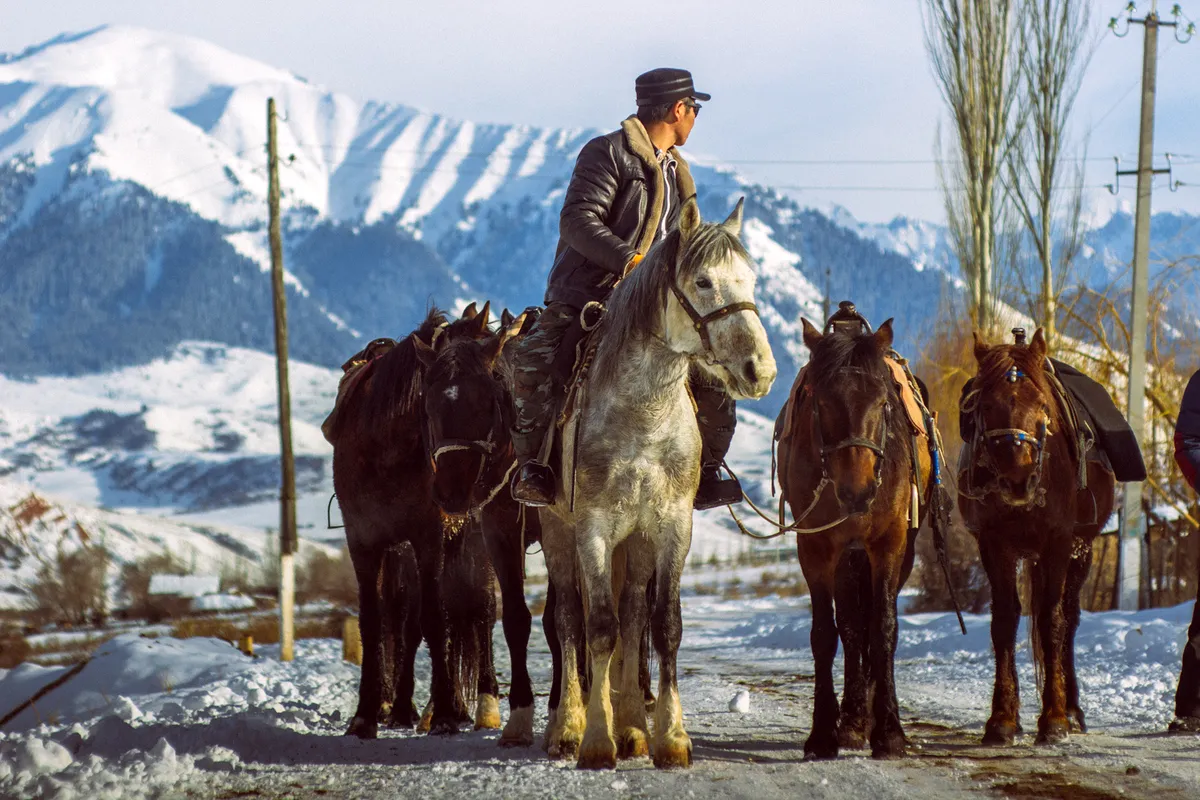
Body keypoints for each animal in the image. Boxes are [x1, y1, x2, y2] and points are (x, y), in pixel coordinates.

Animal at [329, 304, 494, 738]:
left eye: (487, 400)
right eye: (432, 404)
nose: (457, 489)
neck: (385, 451)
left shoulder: (429, 538)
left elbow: (437, 619)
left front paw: (448, 713)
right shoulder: (364, 542)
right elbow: (374, 622)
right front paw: (366, 714)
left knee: (478, 612)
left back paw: (469, 706)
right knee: (406, 618)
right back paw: (405, 706)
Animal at [535, 196, 776, 770]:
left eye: (751, 279)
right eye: (704, 281)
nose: (760, 370)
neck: (643, 414)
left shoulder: (670, 530)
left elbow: (661, 626)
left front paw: (669, 736)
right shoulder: (594, 530)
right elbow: (597, 627)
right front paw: (596, 741)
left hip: (637, 542)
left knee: (632, 616)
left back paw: (631, 728)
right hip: (558, 532)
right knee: (570, 620)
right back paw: (569, 726)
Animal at [776, 317, 936, 760]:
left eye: (883, 402)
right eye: (822, 402)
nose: (858, 490)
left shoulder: (889, 544)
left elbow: (882, 628)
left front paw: (890, 731)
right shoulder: (815, 548)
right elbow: (825, 633)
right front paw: (823, 733)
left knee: (864, 624)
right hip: (847, 556)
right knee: (849, 626)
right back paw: (851, 720)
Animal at [958, 328, 1115, 744]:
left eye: (1042, 403)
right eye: (985, 405)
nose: (1018, 479)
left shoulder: (1059, 543)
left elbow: (1051, 621)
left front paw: (1055, 718)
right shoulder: (994, 544)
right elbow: (1004, 620)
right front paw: (1002, 718)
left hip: (1081, 549)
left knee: (1069, 619)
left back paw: (1073, 709)